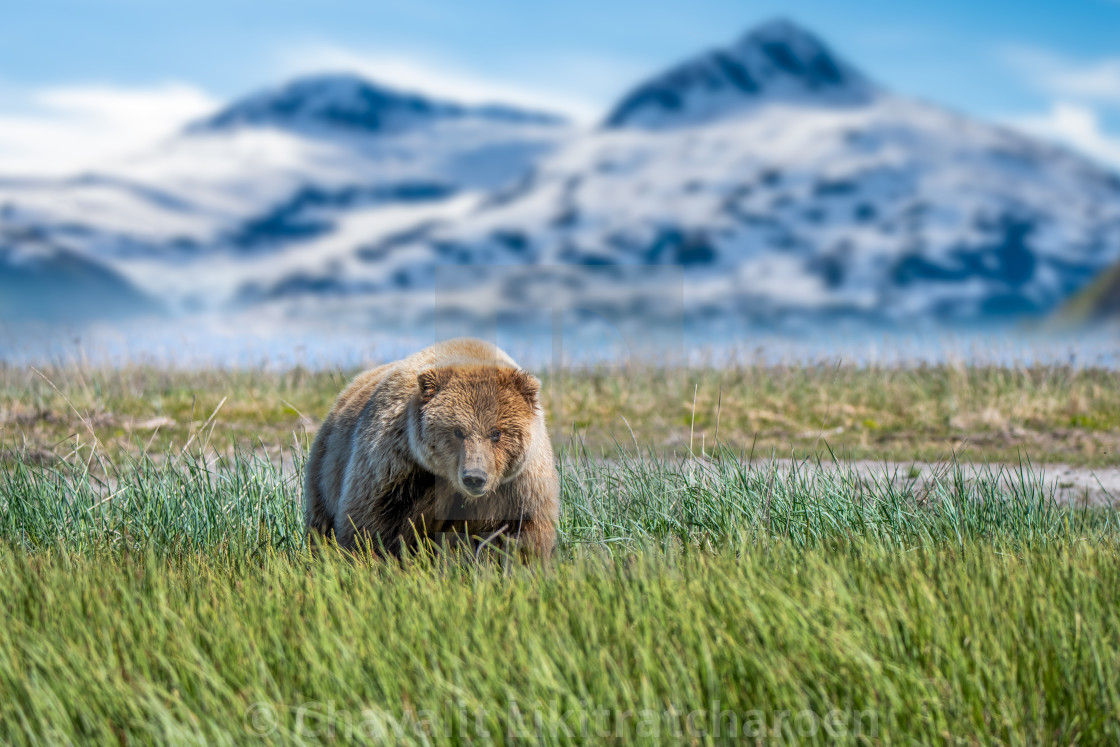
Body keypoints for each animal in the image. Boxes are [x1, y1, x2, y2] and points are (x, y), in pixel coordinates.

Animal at [302, 335, 560, 557]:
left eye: (496, 433)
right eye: (458, 431)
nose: (474, 477)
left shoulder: (519, 486)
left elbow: (522, 533)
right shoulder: (398, 469)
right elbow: (371, 525)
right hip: (326, 467)